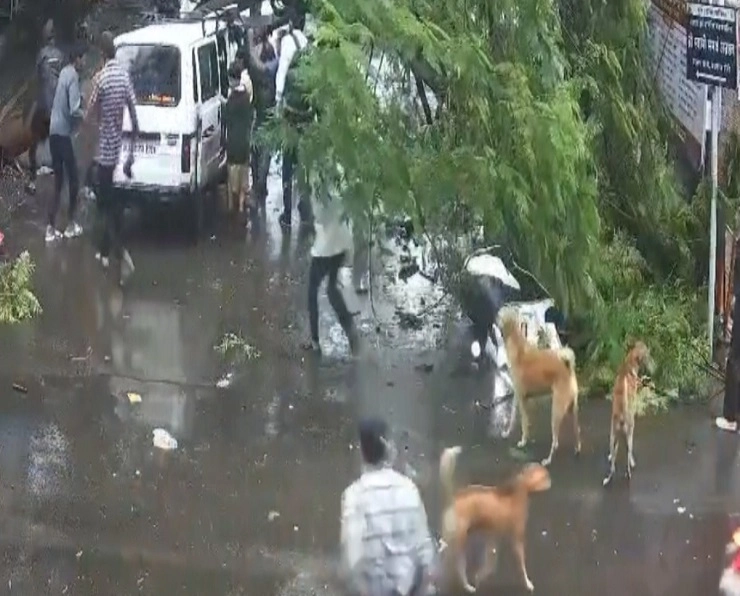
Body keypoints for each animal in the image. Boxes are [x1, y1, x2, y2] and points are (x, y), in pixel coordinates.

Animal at [440, 448, 548, 592]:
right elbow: (521, 565)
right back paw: (466, 586)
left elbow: (491, 563)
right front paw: (528, 583)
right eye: (544, 476)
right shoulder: (516, 539)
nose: (550, 478)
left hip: (453, 539)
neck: (517, 492)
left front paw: (480, 576)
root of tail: (454, 498)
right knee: (459, 566)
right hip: (459, 542)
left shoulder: (493, 538)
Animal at [500, 312, 580, 466]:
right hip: (572, 410)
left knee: (555, 442)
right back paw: (577, 449)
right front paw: (508, 433)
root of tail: (568, 368)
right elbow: (514, 418)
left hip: (556, 412)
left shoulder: (521, 398)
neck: (518, 346)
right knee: (577, 430)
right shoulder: (519, 397)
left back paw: (547, 460)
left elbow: (523, 422)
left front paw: (523, 441)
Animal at [604, 342, 652, 486]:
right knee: (628, 457)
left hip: (613, 433)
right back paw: (630, 468)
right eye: (646, 351)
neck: (628, 365)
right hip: (630, 432)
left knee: (613, 464)